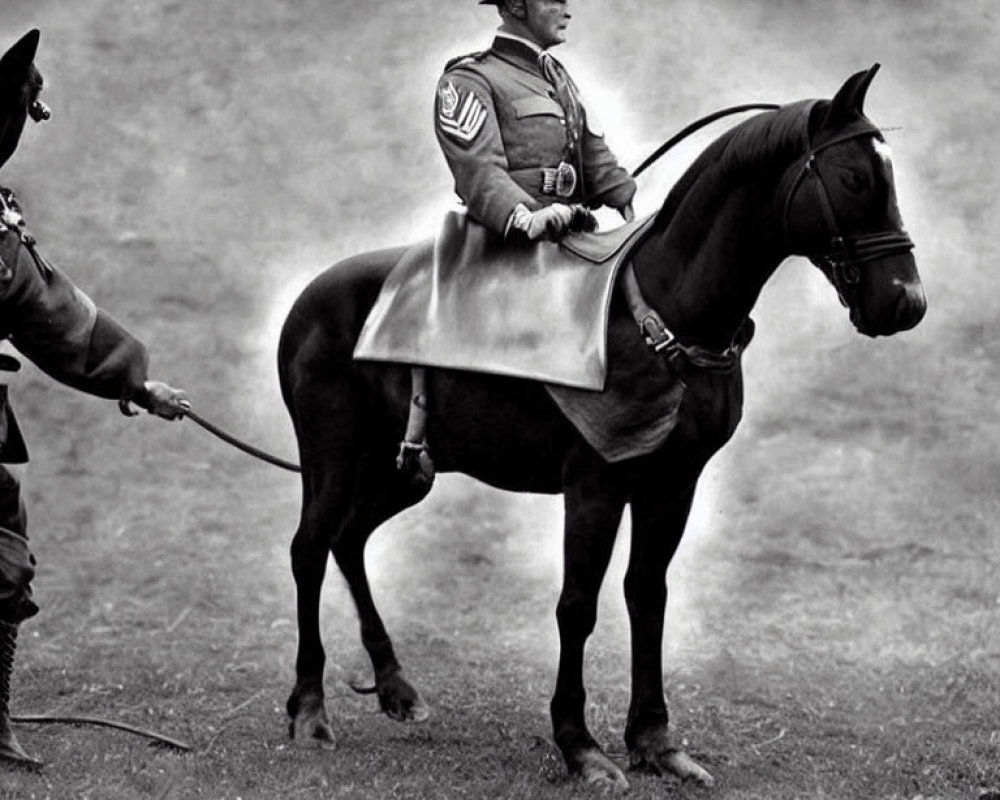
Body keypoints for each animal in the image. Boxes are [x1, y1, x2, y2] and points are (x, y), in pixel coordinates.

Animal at [278, 65, 924, 792]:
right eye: (855, 179)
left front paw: (655, 739)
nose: (906, 301)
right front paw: (579, 744)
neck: (665, 308)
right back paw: (309, 708)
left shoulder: (673, 484)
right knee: (310, 547)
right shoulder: (595, 485)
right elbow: (577, 605)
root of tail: (308, 297)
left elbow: (648, 595)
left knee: (349, 540)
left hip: (405, 470)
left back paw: (395, 686)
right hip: (331, 456)